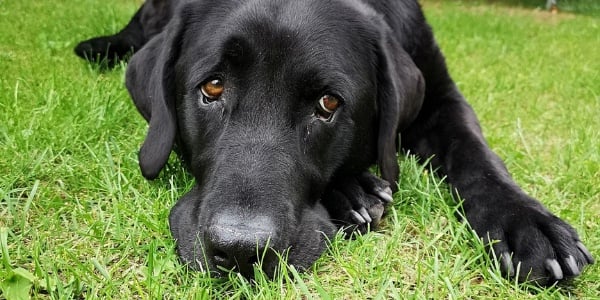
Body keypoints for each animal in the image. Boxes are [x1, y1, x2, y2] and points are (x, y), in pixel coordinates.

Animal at [74, 0, 592, 284]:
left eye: (328, 103)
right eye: (213, 87)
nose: (240, 251)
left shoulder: (442, 95)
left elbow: (477, 157)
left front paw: (527, 223)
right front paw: (354, 191)